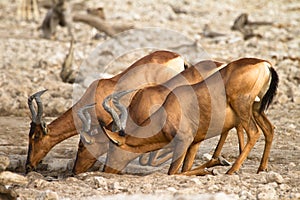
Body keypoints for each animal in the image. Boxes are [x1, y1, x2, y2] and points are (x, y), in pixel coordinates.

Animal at [102, 57, 278, 175]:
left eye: (113, 146)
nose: (106, 170)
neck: (169, 109)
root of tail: (264, 64)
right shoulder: (194, 143)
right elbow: (185, 168)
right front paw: (215, 162)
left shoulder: (183, 142)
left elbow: (174, 172)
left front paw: (213, 166)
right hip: (256, 108)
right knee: (269, 129)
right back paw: (261, 168)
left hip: (243, 107)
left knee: (254, 132)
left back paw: (231, 170)